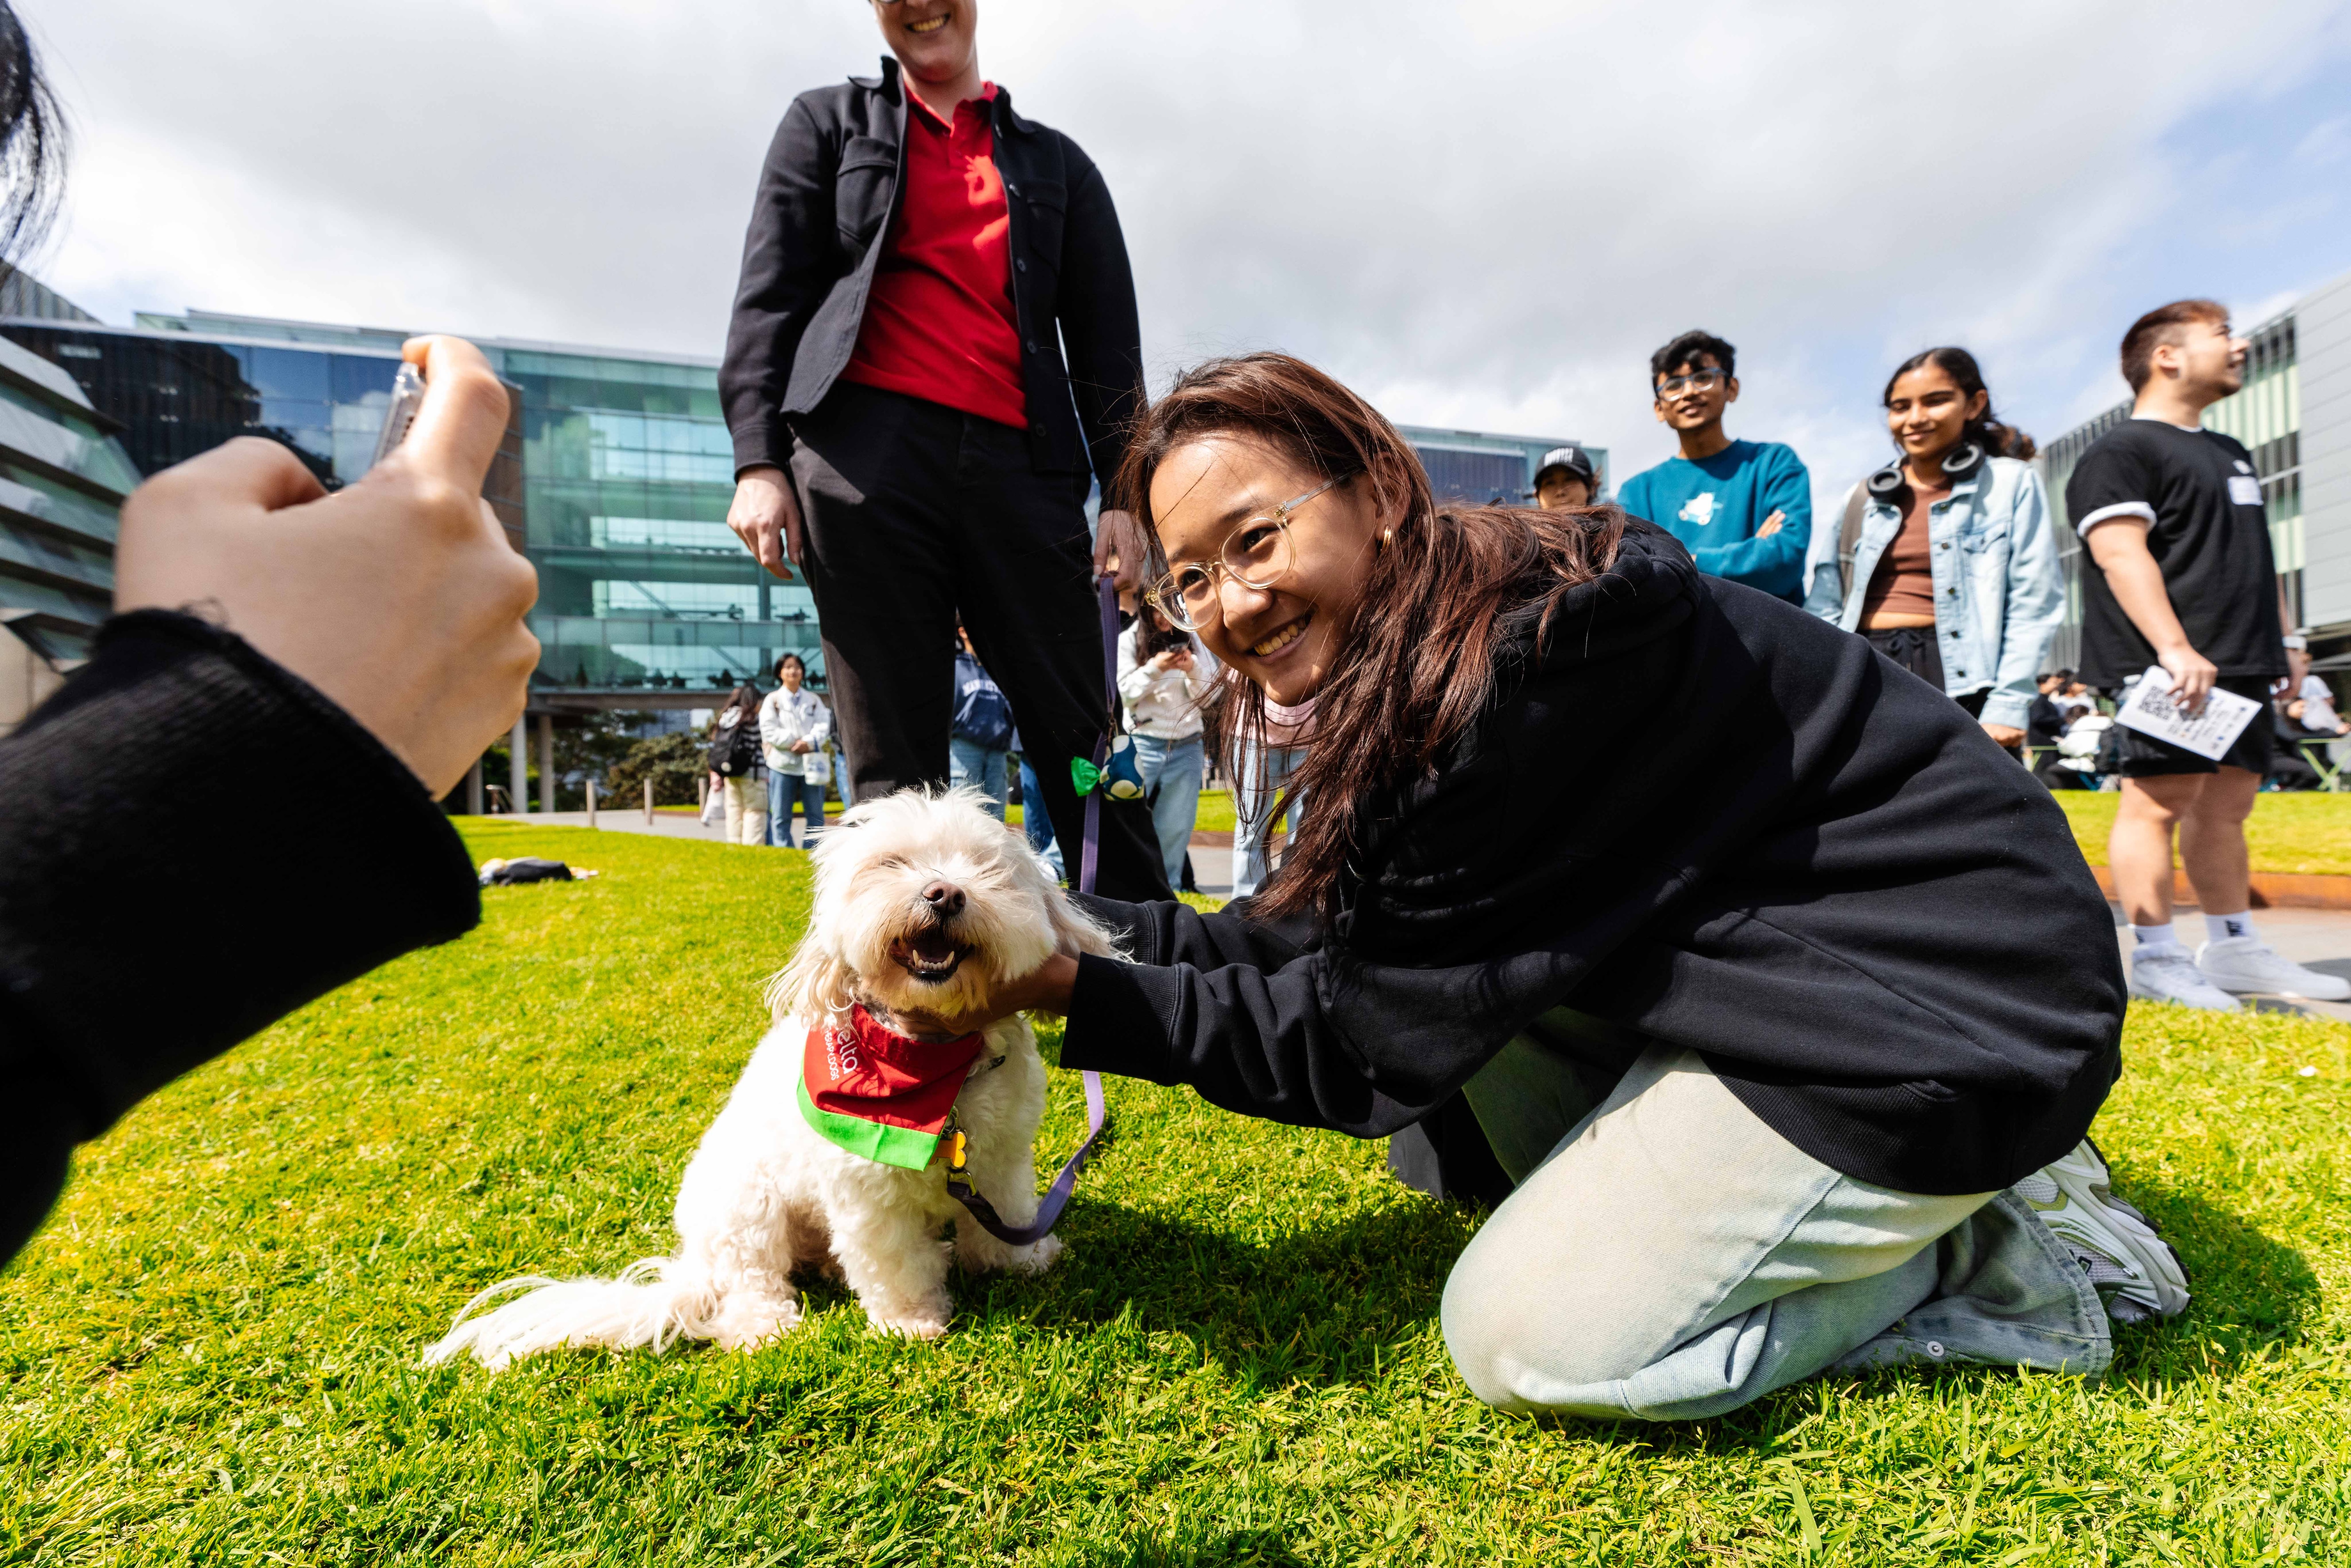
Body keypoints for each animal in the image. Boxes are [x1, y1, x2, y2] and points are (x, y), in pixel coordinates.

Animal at [423, 790, 1119, 1363]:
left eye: (987, 867)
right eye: (891, 864)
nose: (944, 893)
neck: (933, 1064)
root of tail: (692, 1265)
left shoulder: (1002, 1158)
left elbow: (1006, 1212)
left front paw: (1018, 1260)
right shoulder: (865, 1188)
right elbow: (891, 1257)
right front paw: (911, 1319)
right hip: (745, 1207)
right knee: (745, 1288)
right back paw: (766, 1325)